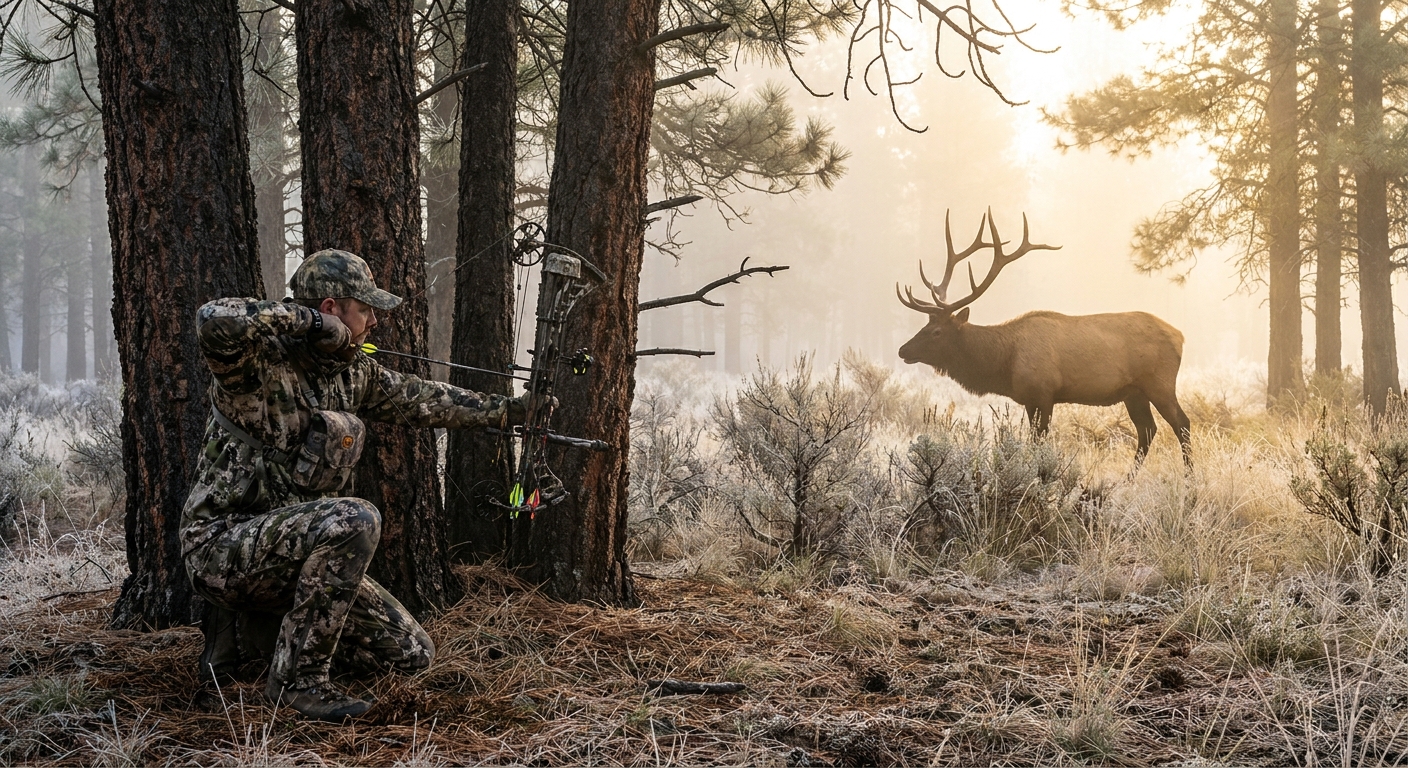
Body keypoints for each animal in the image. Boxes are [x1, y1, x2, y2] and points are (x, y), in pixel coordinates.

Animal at [896, 210, 1192, 466]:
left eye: (937, 332)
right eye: (926, 324)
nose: (902, 350)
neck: (1005, 363)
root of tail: (1181, 336)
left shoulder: (1042, 392)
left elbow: (1038, 443)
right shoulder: (1030, 399)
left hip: (1159, 382)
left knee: (1182, 424)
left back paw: (1189, 482)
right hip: (1133, 392)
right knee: (1147, 430)